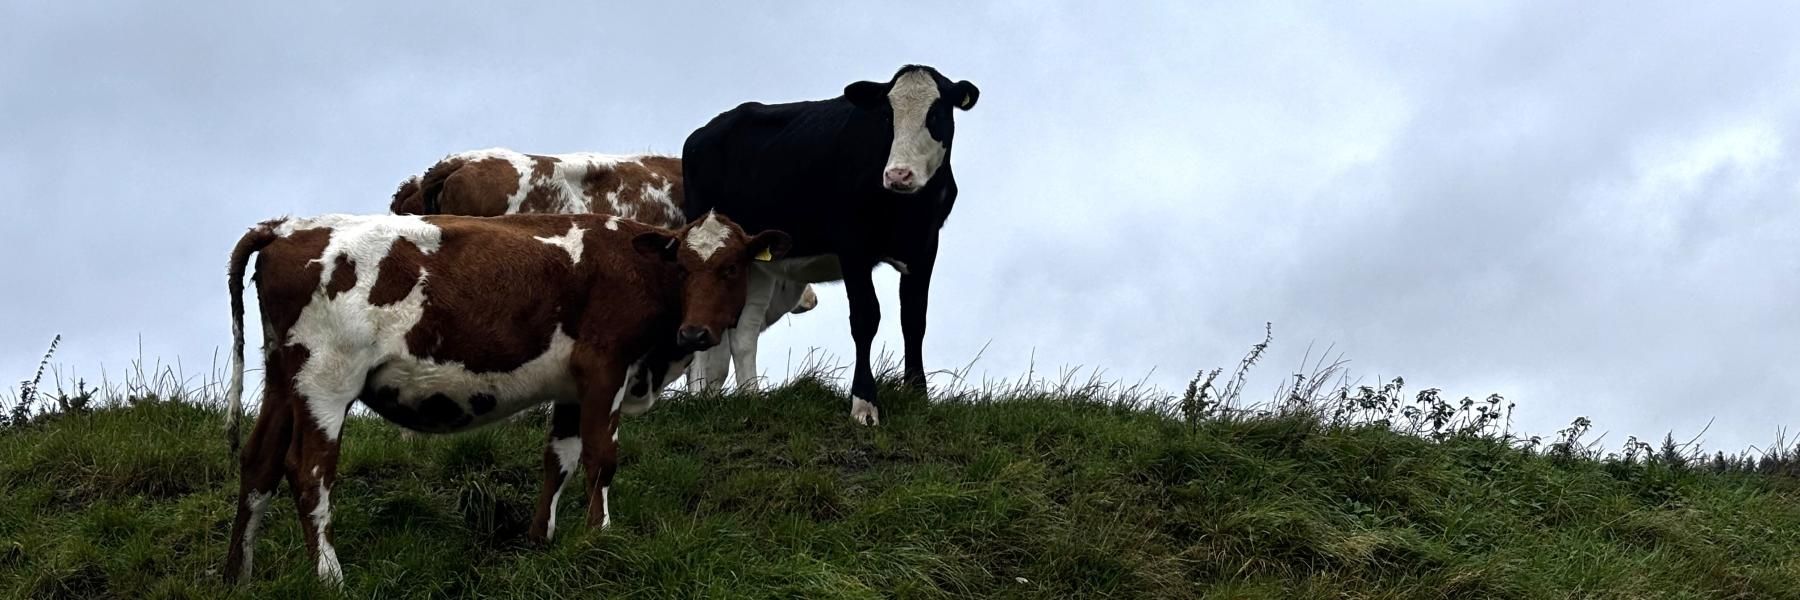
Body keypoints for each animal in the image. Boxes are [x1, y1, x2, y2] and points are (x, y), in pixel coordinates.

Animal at [220, 211, 790, 585]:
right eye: (683, 267)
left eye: (732, 267)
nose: (695, 332)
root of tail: (285, 226)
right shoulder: (603, 366)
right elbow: (601, 457)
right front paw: (600, 535)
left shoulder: (571, 386)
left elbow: (559, 459)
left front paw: (542, 540)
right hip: (327, 378)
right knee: (308, 472)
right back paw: (329, 576)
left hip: (283, 378)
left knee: (259, 464)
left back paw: (238, 575)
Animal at [682, 64, 979, 425]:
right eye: (886, 116)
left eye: (935, 113)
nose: (898, 175)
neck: (905, 211)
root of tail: (704, 132)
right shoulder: (852, 244)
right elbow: (865, 317)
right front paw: (864, 404)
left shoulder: (925, 246)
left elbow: (914, 319)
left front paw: (917, 395)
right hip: (705, 241)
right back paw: (697, 400)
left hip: (755, 259)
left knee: (744, 332)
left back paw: (750, 399)